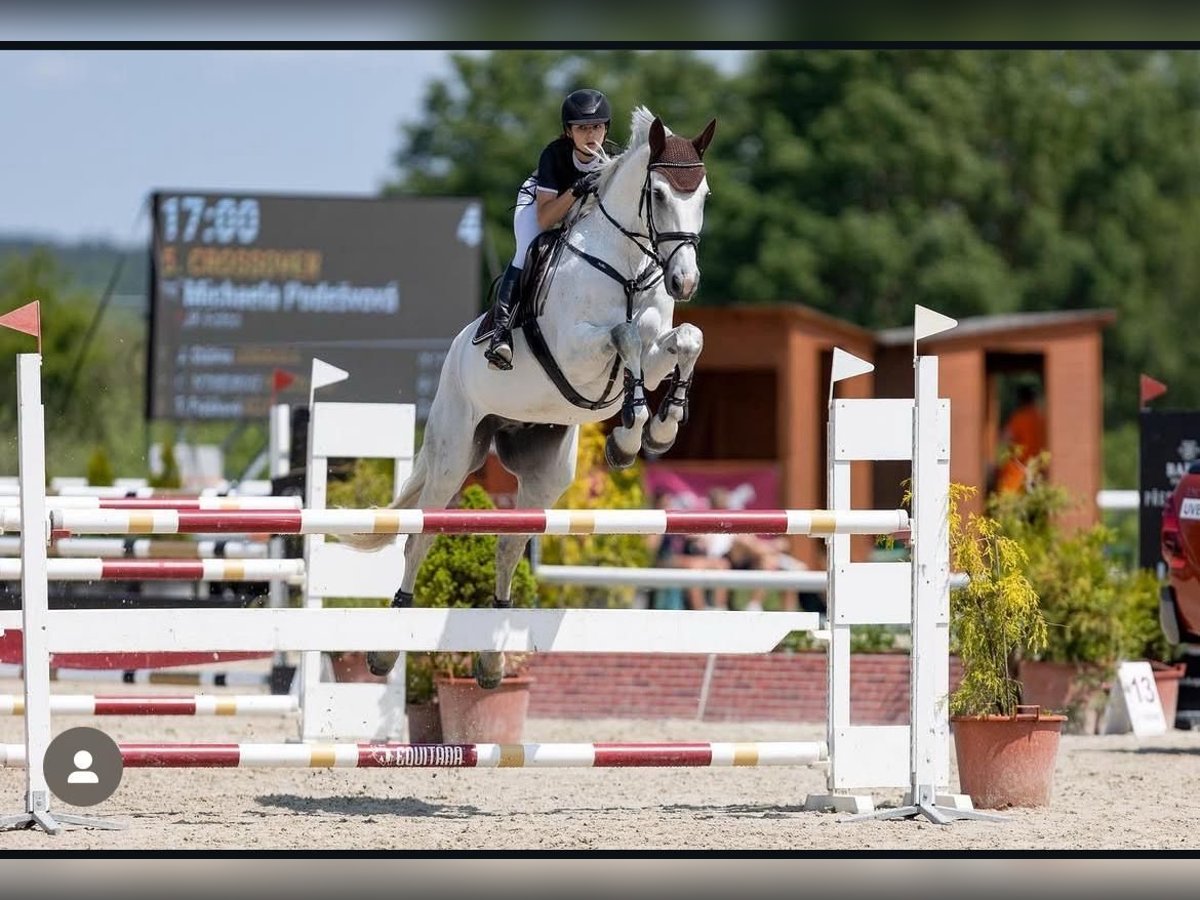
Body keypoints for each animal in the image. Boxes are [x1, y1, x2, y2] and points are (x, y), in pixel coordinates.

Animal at [341, 106, 716, 688]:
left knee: (508, 546)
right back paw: (386, 649)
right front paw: (632, 432)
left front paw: (655, 430)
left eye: (702, 195)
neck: (628, 268)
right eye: (656, 194)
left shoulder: (657, 351)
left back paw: (491, 661)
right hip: (454, 455)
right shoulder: (576, 351)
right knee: (420, 536)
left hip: (545, 476)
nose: (685, 281)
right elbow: (625, 337)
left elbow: (685, 340)